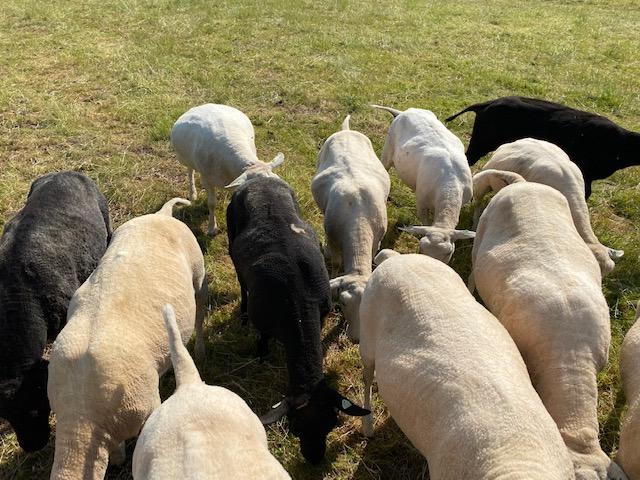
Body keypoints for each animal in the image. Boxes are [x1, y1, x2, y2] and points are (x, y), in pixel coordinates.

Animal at [48, 198, 207, 480]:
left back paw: (199, 349)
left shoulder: (147, 407)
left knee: (199, 313)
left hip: (198, 274)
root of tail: (161, 214)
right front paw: (118, 456)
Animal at [170, 103, 284, 236]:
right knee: (190, 171)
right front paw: (212, 228)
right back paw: (192, 193)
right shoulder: (206, 180)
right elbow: (211, 203)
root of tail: (203, 105)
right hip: (184, 159)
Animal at [226, 174, 369, 464]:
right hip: (232, 243)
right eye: (296, 427)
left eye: (331, 424)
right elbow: (262, 340)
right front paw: (261, 356)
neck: (298, 306)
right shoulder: (264, 323)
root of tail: (258, 179)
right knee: (241, 281)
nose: (315, 460)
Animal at [311, 115, 390, 342]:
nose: (355, 338)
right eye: (344, 303)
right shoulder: (332, 238)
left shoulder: (376, 240)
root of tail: (346, 131)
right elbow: (337, 265)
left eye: (369, 305)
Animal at [372, 104, 474, 263]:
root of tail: (406, 111)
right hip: (388, 148)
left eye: (448, 253)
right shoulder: (421, 203)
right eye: (420, 248)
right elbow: (425, 222)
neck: (449, 185)